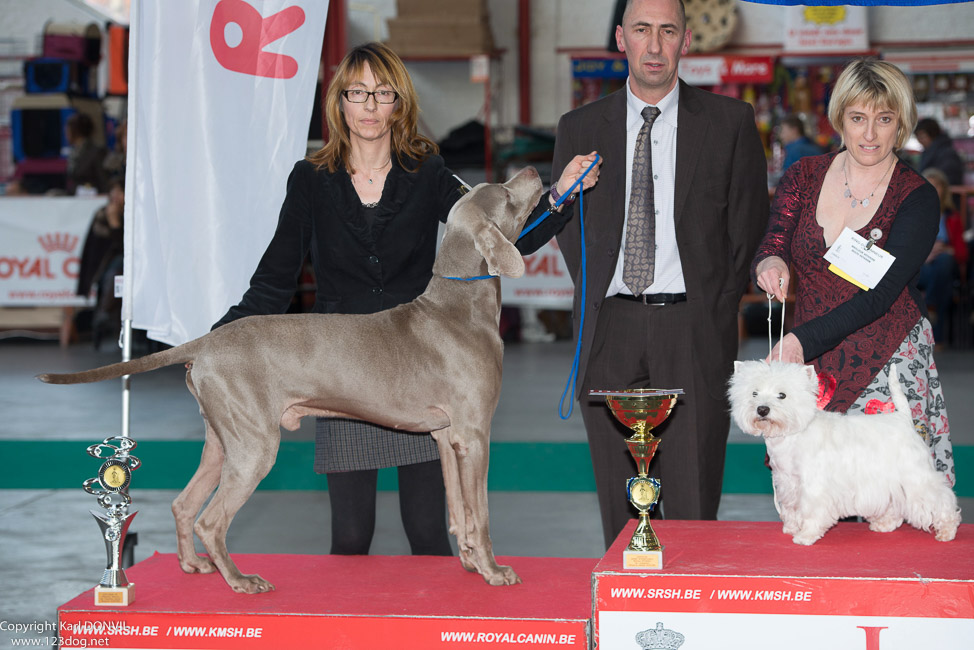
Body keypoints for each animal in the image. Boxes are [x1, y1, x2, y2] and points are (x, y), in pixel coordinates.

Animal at [42, 165, 544, 588]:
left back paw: (192, 565)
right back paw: (240, 581)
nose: (535, 170)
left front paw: (471, 564)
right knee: (211, 519)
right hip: (255, 445)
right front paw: (494, 571)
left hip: (223, 438)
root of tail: (205, 343)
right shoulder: (474, 434)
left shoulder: (446, 437)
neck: (458, 306)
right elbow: (481, 513)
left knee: (184, 504)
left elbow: (460, 512)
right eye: (504, 194)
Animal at [732, 360, 960, 540]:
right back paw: (884, 524)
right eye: (754, 393)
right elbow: (792, 508)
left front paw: (805, 536)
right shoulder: (788, 482)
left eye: (782, 395)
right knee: (896, 504)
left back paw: (947, 531)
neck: (792, 434)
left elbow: (812, 511)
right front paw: (792, 528)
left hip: (915, 475)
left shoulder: (814, 486)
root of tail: (903, 417)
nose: (762, 409)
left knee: (940, 498)